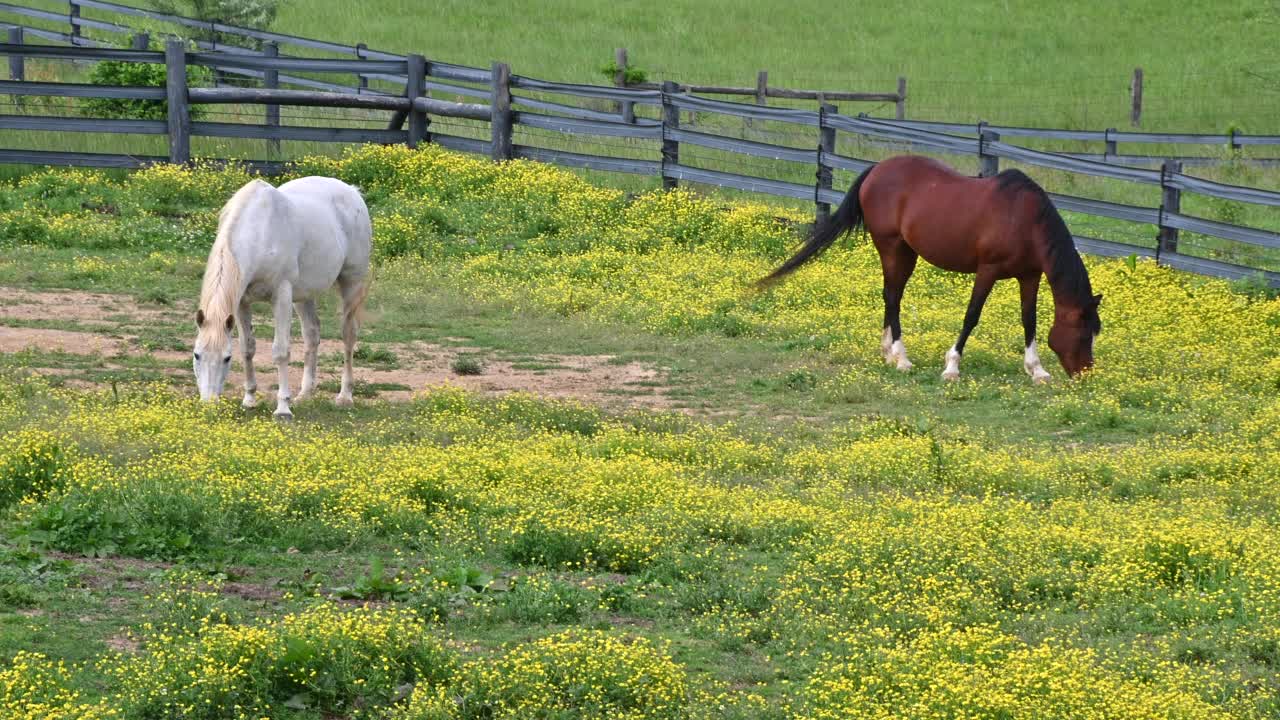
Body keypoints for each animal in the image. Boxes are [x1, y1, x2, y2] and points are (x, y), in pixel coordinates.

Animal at [192, 175, 371, 417]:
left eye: (226, 358)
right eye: (197, 355)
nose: (208, 404)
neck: (259, 232)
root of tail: (352, 192)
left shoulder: (282, 296)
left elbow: (281, 351)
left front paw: (283, 408)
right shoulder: (241, 303)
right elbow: (247, 348)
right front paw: (249, 399)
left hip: (351, 283)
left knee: (348, 335)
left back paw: (345, 396)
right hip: (304, 295)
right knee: (312, 334)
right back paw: (305, 394)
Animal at [757, 155, 1100, 381]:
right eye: (1085, 333)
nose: (1085, 374)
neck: (1024, 220)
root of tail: (877, 169)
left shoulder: (1029, 276)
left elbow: (1029, 320)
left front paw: (1036, 370)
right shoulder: (987, 270)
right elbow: (972, 316)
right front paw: (951, 367)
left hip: (906, 252)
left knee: (891, 296)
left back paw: (888, 353)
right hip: (892, 247)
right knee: (892, 297)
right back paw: (901, 359)